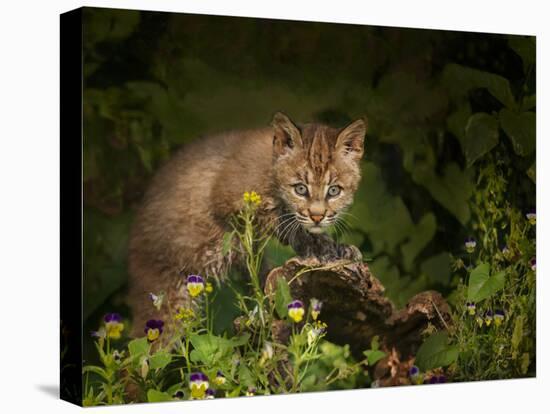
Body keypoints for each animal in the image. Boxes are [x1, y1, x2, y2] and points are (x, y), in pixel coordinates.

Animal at [128, 111, 368, 336]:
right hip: (168, 299)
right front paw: (319, 246)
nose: (317, 216)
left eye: (334, 191)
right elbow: (282, 218)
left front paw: (336, 248)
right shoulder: (226, 199)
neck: (271, 171)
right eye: (300, 189)